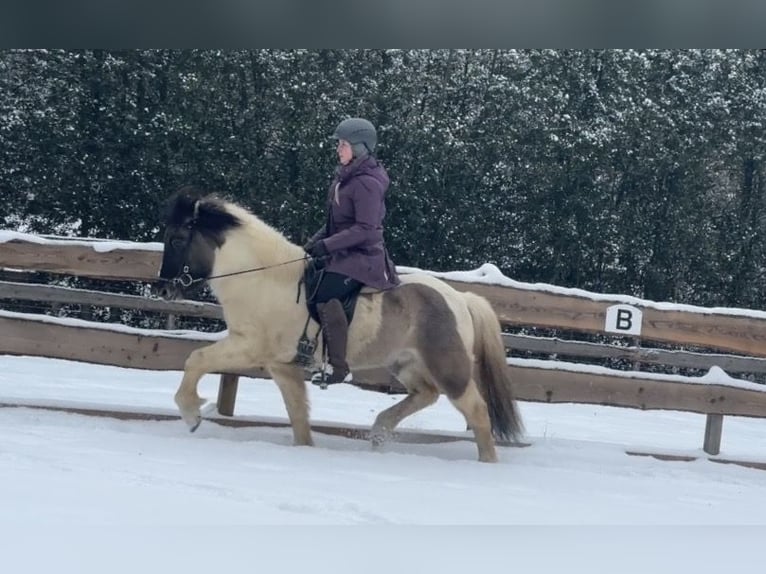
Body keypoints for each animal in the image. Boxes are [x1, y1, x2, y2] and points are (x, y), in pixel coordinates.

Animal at [156, 187, 523, 462]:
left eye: (176, 240)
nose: (162, 290)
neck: (264, 280)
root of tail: (461, 298)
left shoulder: (247, 347)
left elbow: (196, 360)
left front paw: (192, 414)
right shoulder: (282, 365)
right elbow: (298, 414)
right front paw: (305, 449)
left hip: (449, 367)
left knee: (476, 411)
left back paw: (486, 464)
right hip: (406, 363)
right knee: (426, 395)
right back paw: (379, 431)